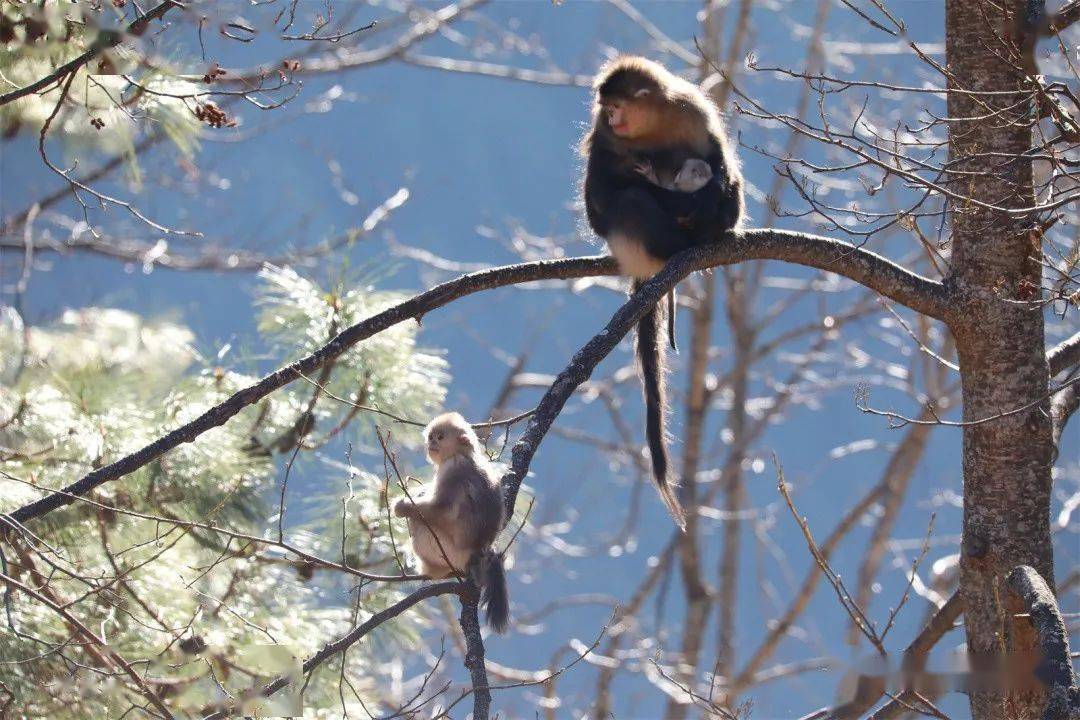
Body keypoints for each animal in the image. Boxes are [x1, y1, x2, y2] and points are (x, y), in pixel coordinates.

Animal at [393, 414, 509, 634]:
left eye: (440, 437)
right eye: (431, 436)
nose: (431, 443)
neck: (465, 454)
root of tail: (479, 552)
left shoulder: (453, 468)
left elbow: (441, 509)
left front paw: (401, 506)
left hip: (448, 551)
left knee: (419, 524)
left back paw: (431, 570)